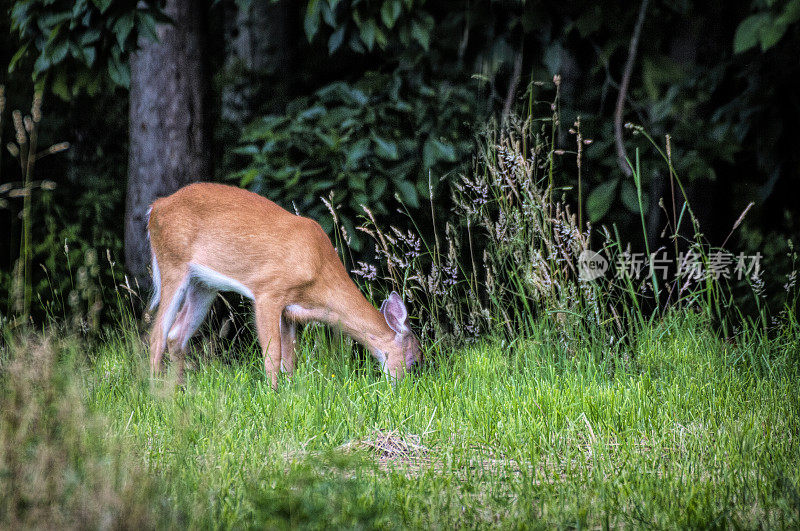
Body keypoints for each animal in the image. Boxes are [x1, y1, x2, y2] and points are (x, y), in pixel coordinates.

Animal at [147, 183, 422, 386]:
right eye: (414, 361)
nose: (404, 386)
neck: (318, 268)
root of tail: (156, 206)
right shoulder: (268, 292)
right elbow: (273, 355)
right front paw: (272, 394)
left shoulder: (290, 311)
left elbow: (290, 358)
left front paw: (288, 392)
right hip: (173, 264)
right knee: (156, 335)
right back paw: (156, 392)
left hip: (204, 285)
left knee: (176, 335)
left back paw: (179, 389)